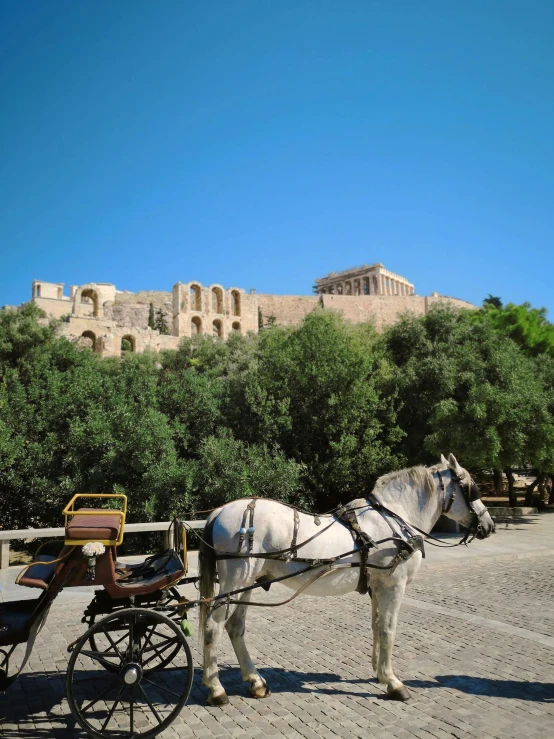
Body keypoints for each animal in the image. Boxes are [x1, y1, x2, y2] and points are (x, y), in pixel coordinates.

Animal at [197, 450, 492, 704]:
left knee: (235, 627)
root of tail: (219, 511)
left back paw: (255, 681)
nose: (489, 525)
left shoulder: (378, 586)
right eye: (471, 487)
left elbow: (376, 626)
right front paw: (393, 682)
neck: (395, 518)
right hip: (235, 582)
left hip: (246, 584)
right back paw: (216, 689)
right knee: (213, 626)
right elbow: (389, 629)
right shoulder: (393, 585)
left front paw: (379, 673)